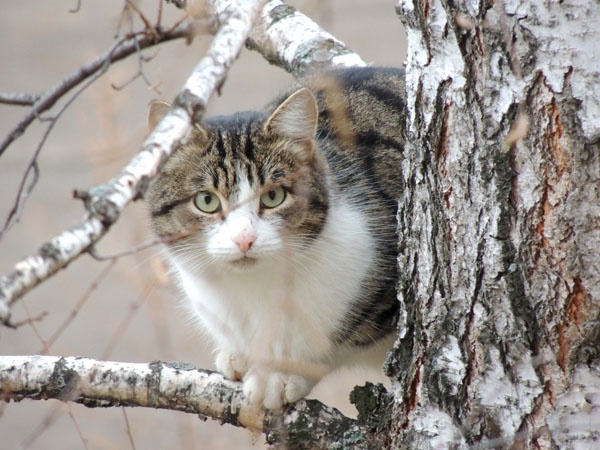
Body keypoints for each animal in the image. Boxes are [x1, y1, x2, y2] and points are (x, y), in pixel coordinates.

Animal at [147, 67, 406, 412]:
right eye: (206, 201)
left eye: (273, 196)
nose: (244, 239)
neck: (252, 290)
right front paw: (239, 356)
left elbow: (333, 343)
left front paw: (279, 376)